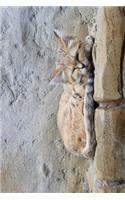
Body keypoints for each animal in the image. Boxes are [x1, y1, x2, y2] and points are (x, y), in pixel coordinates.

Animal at [49, 30, 95, 158]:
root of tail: (79, 151)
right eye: (74, 69)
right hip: (77, 97)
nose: (83, 66)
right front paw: (88, 43)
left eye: (77, 56)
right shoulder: (79, 86)